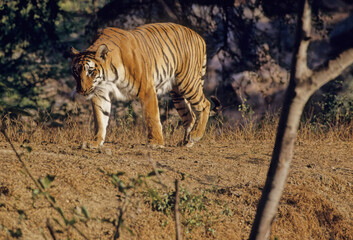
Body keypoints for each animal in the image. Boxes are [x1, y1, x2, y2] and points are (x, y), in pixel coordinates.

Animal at [70, 23, 210, 149]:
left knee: (205, 104)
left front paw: (156, 142)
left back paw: (196, 135)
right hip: (177, 93)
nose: (81, 90)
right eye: (76, 72)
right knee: (190, 116)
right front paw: (95, 142)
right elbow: (100, 119)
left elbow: (151, 117)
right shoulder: (100, 93)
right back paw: (187, 142)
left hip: (187, 82)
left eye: (90, 71)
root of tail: (199, 36)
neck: (108, 78)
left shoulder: (146, 89)